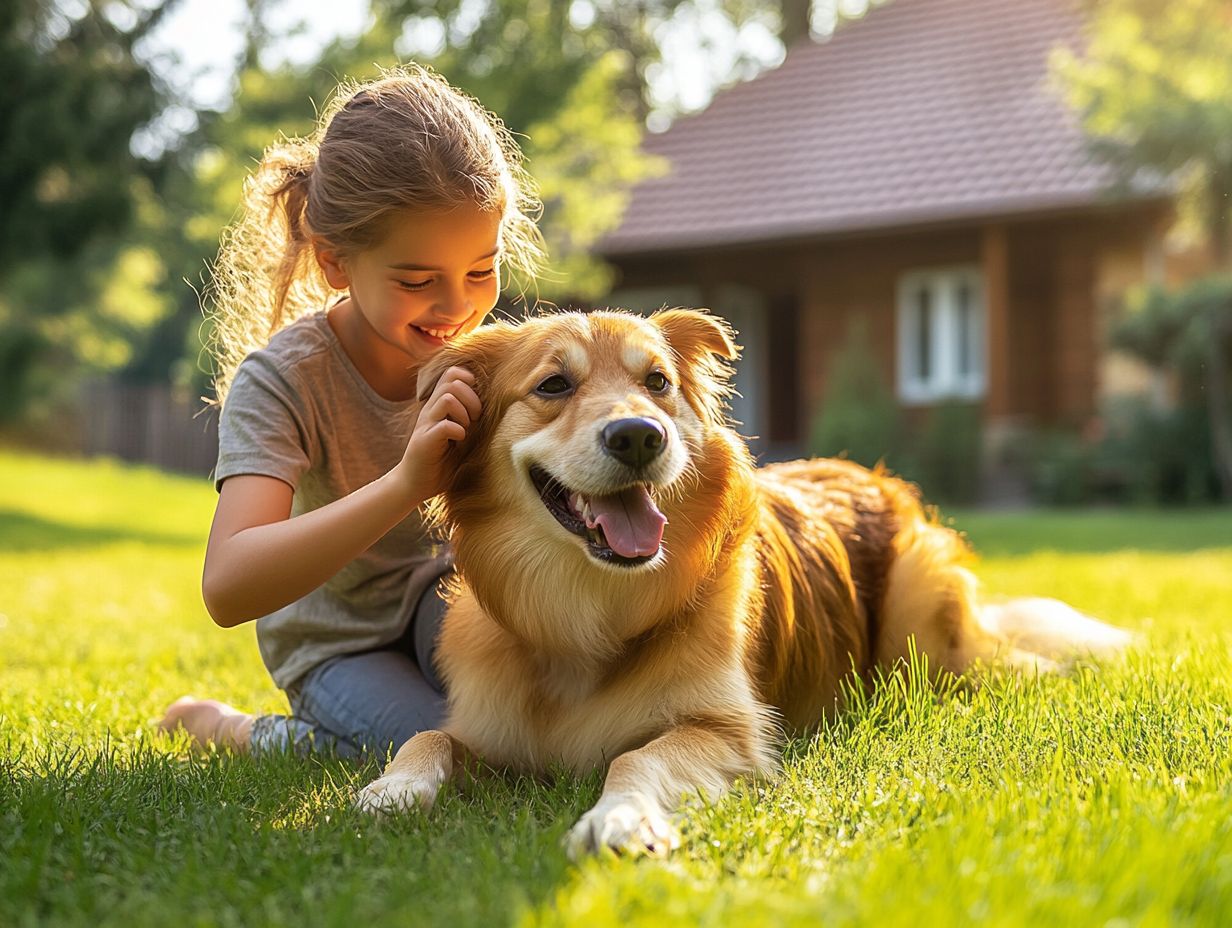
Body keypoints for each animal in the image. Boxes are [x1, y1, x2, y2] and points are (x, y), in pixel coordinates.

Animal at [352, 309, 1128, 852]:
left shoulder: (729, 734)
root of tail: (865, 470)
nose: (640, 435)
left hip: (925, 632)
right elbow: (428, 738)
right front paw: (390, 790)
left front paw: (619, 819)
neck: (587, 609)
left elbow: (634, 756)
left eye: (657, 383)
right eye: (553, 385)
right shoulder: (487, 727)